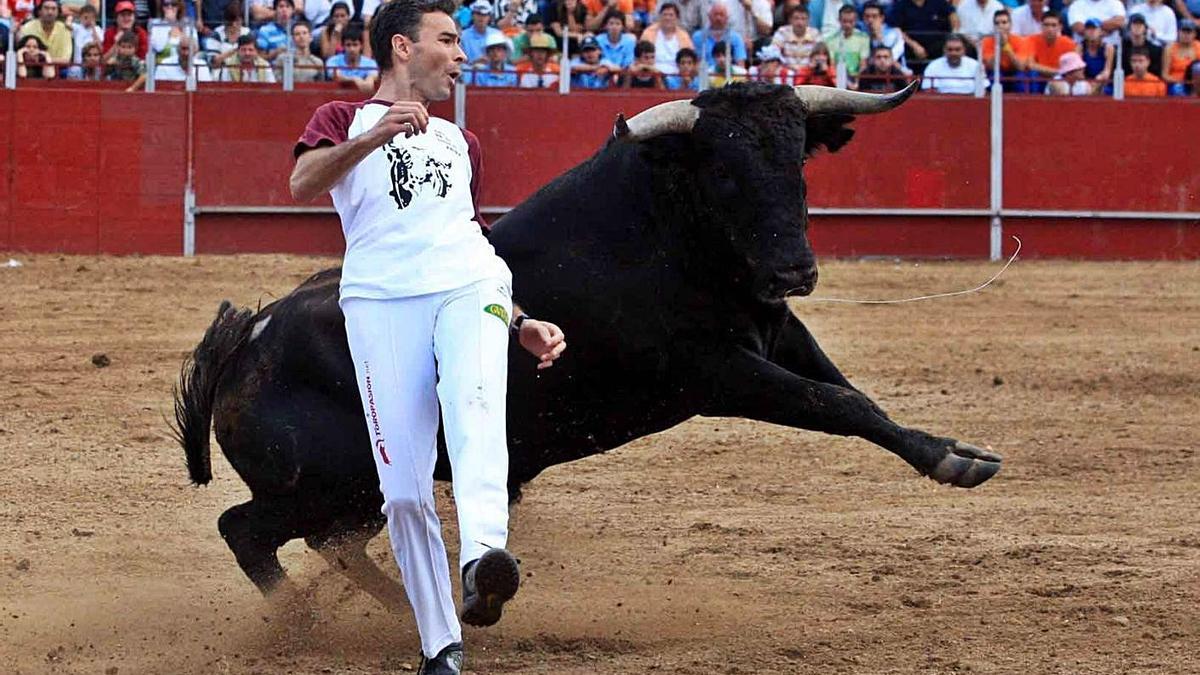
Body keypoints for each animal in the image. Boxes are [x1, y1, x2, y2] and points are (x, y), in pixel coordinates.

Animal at [175, 82, 1003, 593]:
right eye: (723, 169)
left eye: (797, 156)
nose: (794, 268)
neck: (669, 227)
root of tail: (247, 340)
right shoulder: (718, 372)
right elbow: (838, 404)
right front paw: (952, 459)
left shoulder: (777, 331)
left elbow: (856, 395)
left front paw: (956, 453)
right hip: (326, 483)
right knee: (245, 530)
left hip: (349, 494)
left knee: (327, 542)